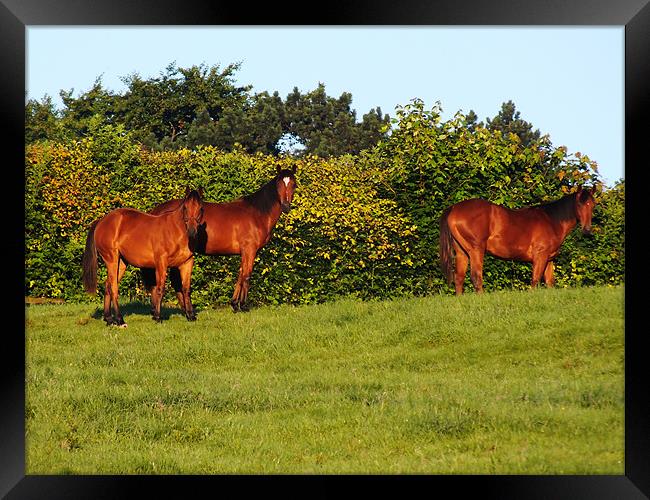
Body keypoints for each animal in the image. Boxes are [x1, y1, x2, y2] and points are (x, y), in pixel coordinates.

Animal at [81, 188, 204, 324]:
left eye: (201, 208)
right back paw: (119, 319)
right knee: (113, 287)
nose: (192, 231)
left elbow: (186, 289)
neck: (175, 231)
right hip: (111, 259)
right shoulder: (161, 262)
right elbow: (160, 288)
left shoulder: (187, 263)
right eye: (185, 208)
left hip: (121, 263)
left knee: (108, 285)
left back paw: (109, 319)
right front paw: (157, 317)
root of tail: (101, 221)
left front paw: (191, 316)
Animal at [143, 166, 298, 310]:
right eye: (278, 184)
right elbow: (246, 275)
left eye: (293, 184)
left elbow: (240, 274)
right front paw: (243, 306)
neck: (257, 213)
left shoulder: (246, 252)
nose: (286, 206)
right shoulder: (249, 249)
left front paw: (235, 304)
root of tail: (155, 212)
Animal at [438, 188, 596, 296]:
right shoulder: (540, 256)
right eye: (580, 204)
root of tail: (454, 208)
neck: (551, 220)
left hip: (461, 252)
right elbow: (535, 280)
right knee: (476, 276)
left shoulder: (549, 259)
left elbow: (550, 282)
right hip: (476, 250)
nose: (587, 229)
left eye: (593, 205)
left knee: (459, 278)